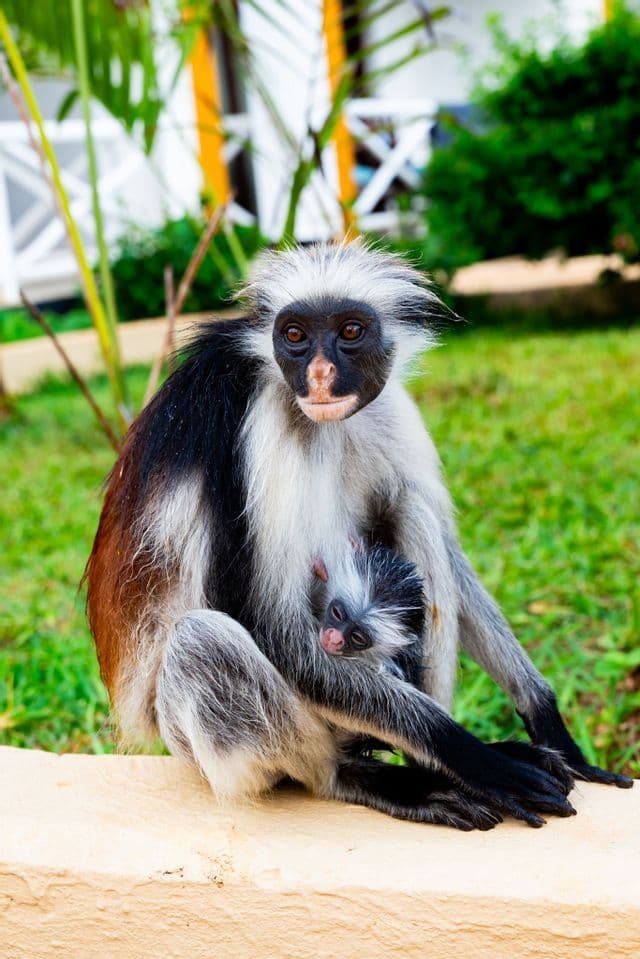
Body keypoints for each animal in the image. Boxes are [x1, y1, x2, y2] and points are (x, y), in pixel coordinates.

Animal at [86, 241, 632, 833]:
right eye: (295, 335)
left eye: (350, 331)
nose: (321, 374)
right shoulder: (263, 418)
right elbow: (273, 630)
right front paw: (474, 759)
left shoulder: (384, 403)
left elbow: (448, 548)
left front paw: (545, 720)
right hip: (200, 737)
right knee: (205, 641)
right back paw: (365, 777)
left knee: (413, 511)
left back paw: (427, 766)